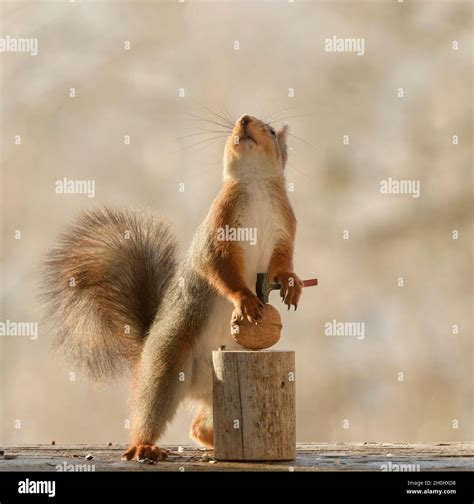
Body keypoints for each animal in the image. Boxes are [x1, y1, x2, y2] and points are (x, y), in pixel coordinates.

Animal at [41, 114, 304, 460]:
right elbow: (216, 267)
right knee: (152, 407)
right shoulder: (219, 228)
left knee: (199, 426)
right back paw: (144, 445)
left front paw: (292, 284)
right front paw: (244, 299)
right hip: (168, 365)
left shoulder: (284, 230)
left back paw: (212, 438)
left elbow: (282, 265)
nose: (244, 120)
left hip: (214, 393)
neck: (256, 184)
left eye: (272, 131)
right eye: (237, 124)